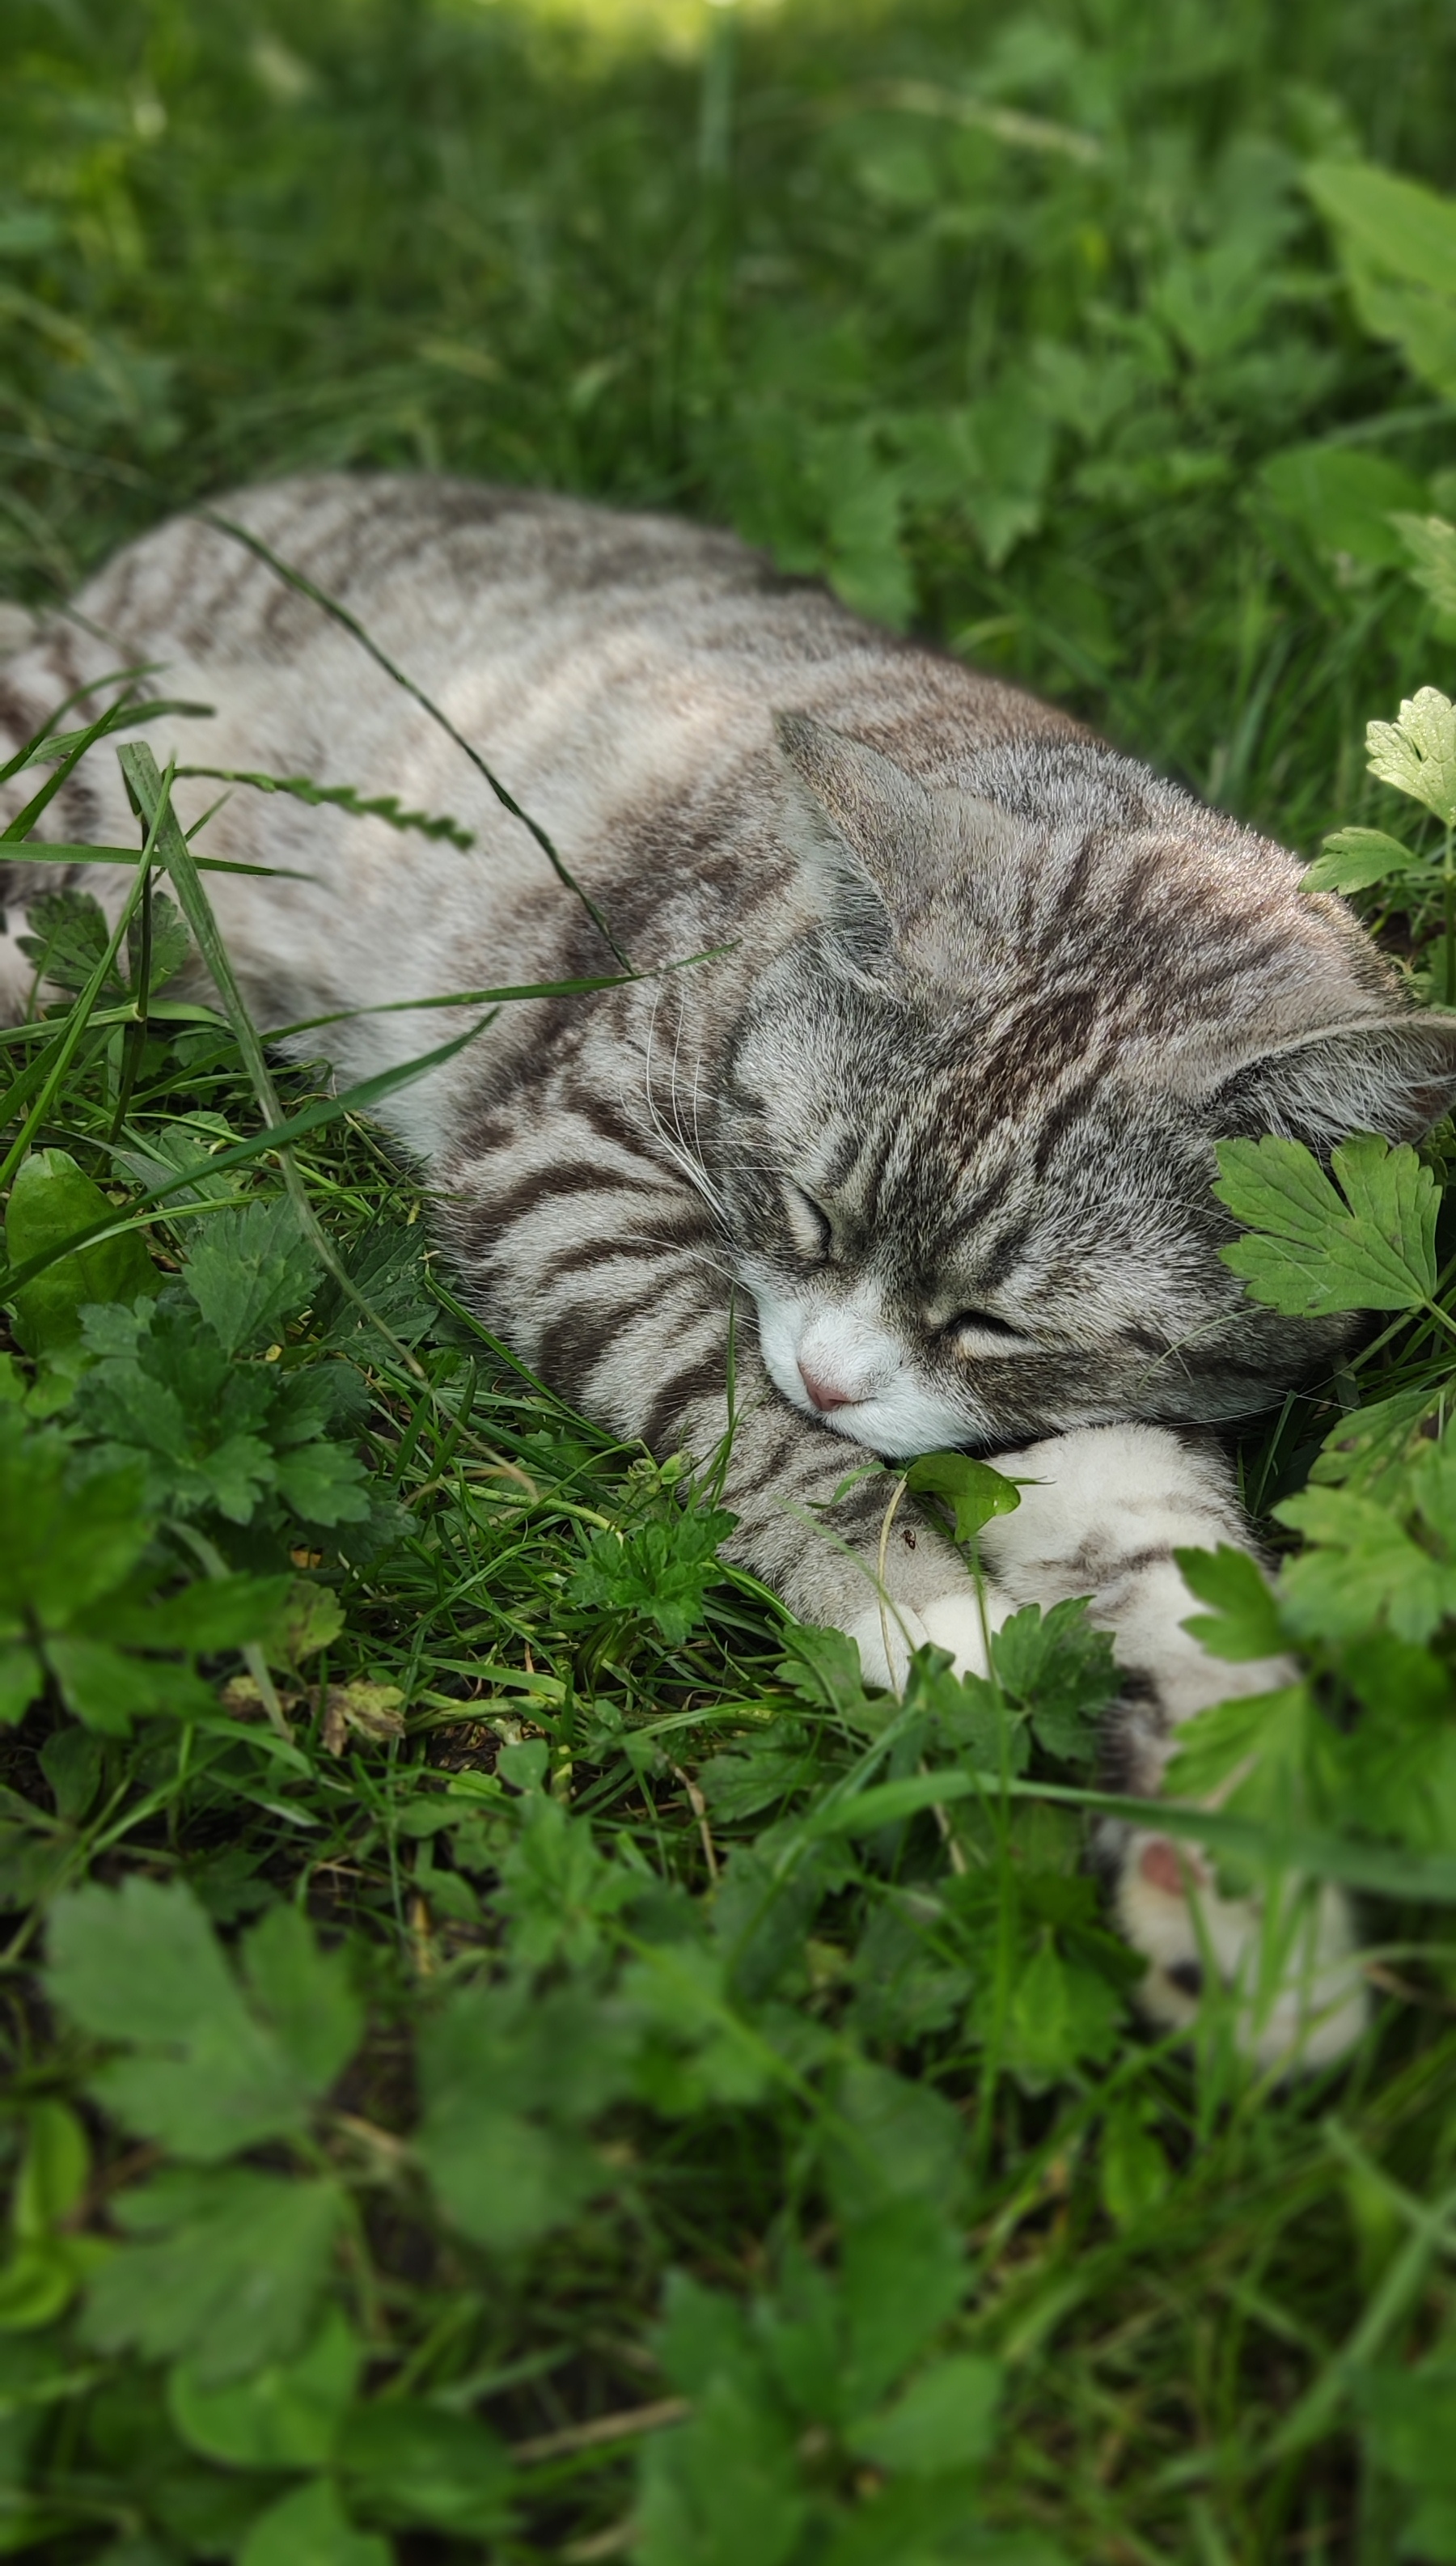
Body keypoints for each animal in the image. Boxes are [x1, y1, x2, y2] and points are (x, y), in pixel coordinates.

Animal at [6, 472, 1448, 2063]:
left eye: (995, 1324)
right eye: (808, 1216)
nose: (829, 1378)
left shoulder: (1111, 1421)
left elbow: (1183, 1586)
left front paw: (1246, 1906)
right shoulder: (566, 1166)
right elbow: (735, 1415)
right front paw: (924, 1617)